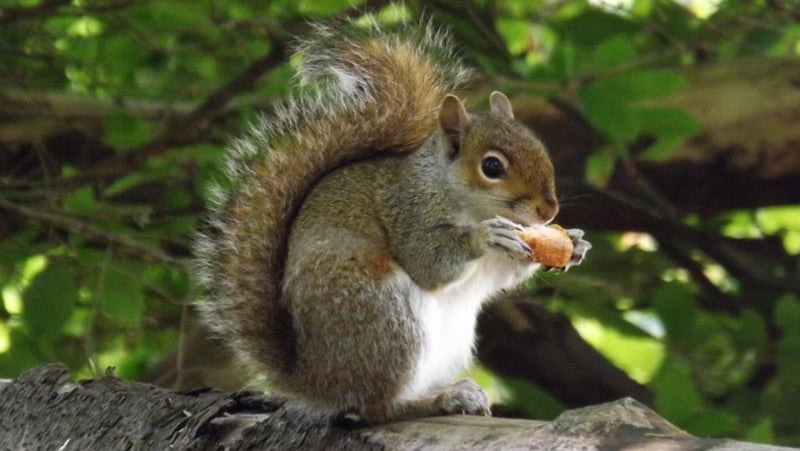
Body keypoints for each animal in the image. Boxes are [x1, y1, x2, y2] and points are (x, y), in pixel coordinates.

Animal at [193, 19, 588, 426]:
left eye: (539, 148)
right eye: (492, 167)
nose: (548, 211)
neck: (451, 191)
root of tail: (315, 380)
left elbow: (499, 275)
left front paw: (573, 243)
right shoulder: (407, 212)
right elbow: (428, 263)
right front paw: (484, 236)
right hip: (383, 318)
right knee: (375, 407)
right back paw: (436, 401)